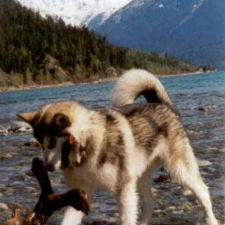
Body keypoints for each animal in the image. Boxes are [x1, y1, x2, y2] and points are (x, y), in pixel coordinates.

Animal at [18, 69, 219, 225]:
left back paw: (211, 220)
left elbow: (127, 218)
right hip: (140, 177)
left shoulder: (124, 190)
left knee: (202, 191)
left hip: (179, 169)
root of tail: (162, 104)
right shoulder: (80, 195)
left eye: (52, 141)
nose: (48, 167)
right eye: (40, 142)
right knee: (149, 203)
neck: (87, 146)